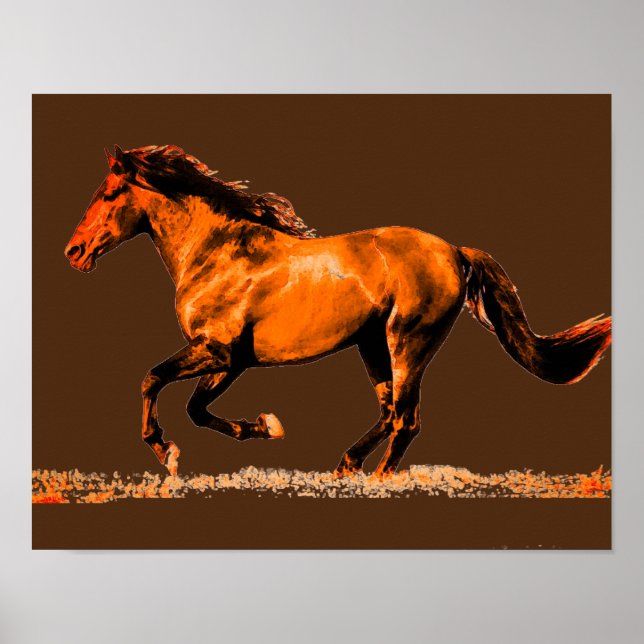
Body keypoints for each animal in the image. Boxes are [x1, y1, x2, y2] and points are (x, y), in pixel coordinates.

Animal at [64, 145, 612, 477]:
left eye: (109, 194)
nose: (74, 251)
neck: (219, 252)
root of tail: (455, 251)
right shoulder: (233, 361)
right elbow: (196, 409)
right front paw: (263, 426)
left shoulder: (217, 351)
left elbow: (152, 380)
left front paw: (167, 452)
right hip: (372, 346)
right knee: (390, 412)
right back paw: (347, 465)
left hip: (407, 342)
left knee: (406, 419)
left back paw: (376, 480)